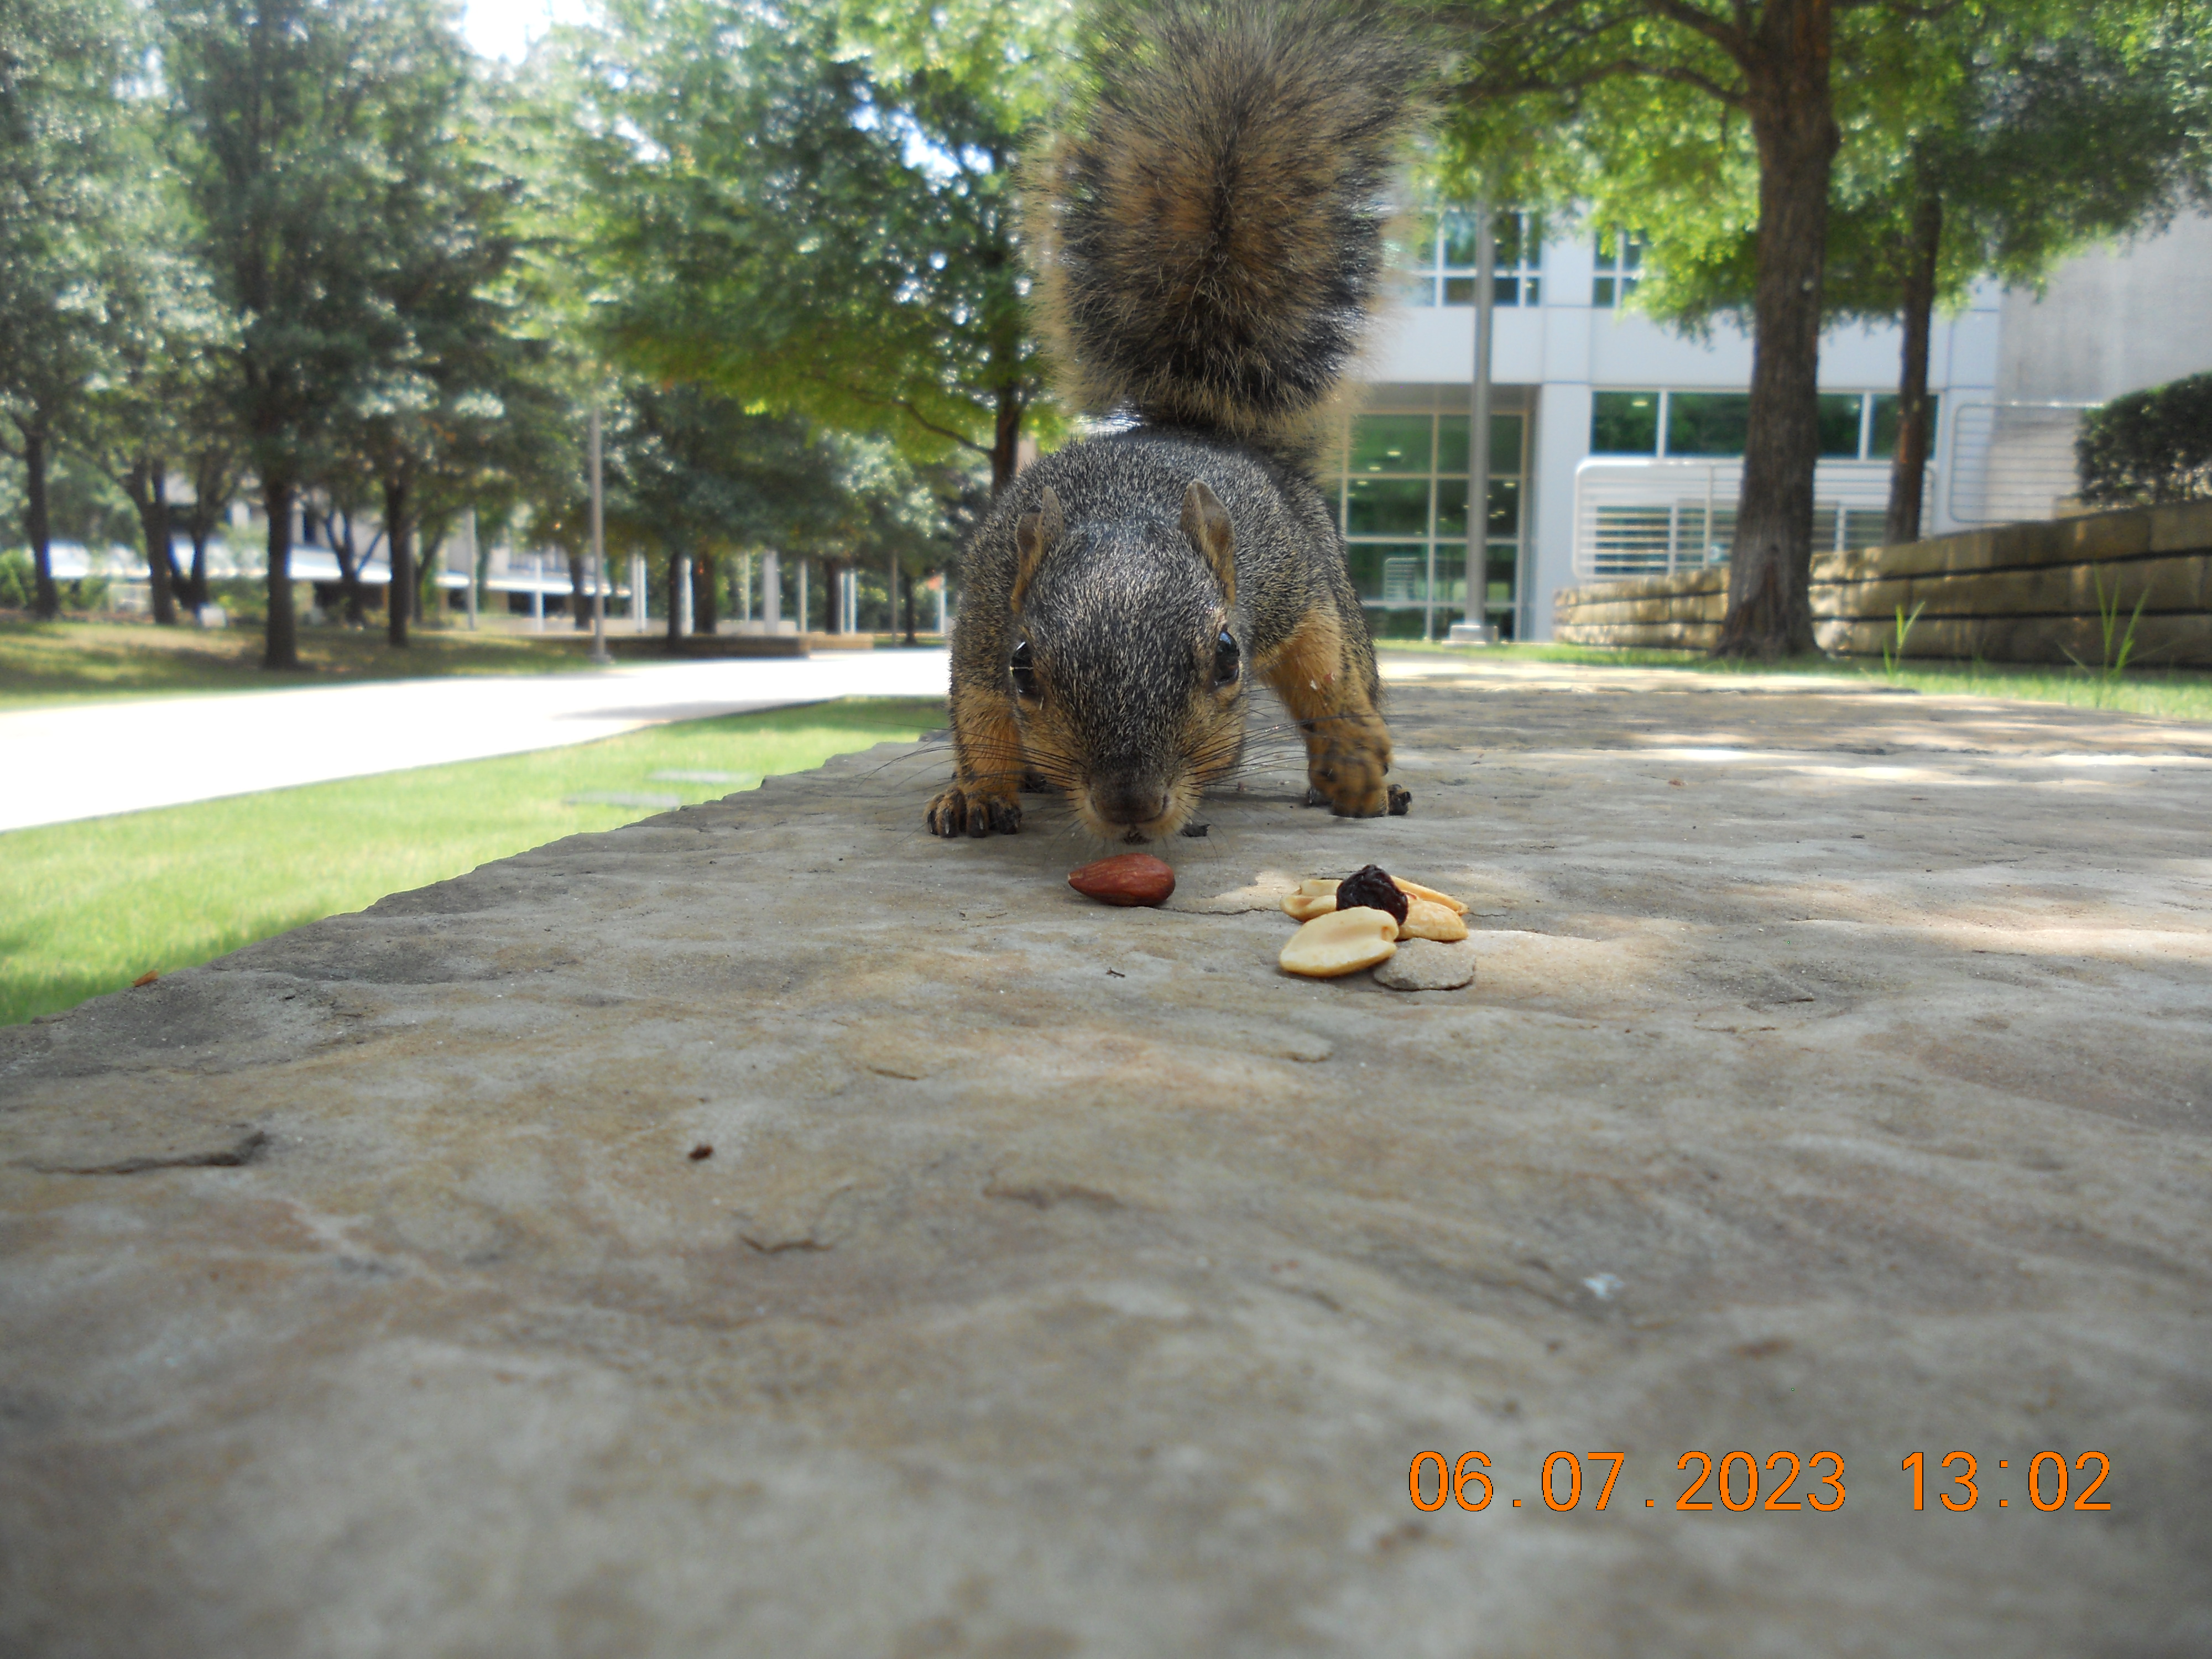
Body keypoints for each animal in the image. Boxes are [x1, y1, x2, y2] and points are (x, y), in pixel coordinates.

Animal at [925, 0, 1424, 844]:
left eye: (1227, 655)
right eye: (1025, 663)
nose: (1132, 804)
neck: (1128, 500)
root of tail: (1196, 425)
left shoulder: (1288, 574)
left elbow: (1326, 667)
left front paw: (1354, 758)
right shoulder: (988, 611)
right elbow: (979, 711)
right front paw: (977, 791)